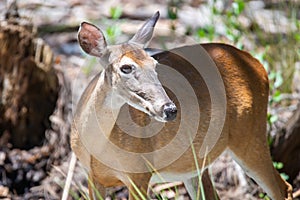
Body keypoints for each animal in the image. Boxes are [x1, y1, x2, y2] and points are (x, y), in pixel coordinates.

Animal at [71, 11, 292, 200]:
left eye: (155, 64)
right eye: (126, 67)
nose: (169, 109)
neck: (97, 149)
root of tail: (258, 65)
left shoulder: (140, 172)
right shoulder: (92, 176)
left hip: (250, 132)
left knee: (283, 187)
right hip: (196, 164)